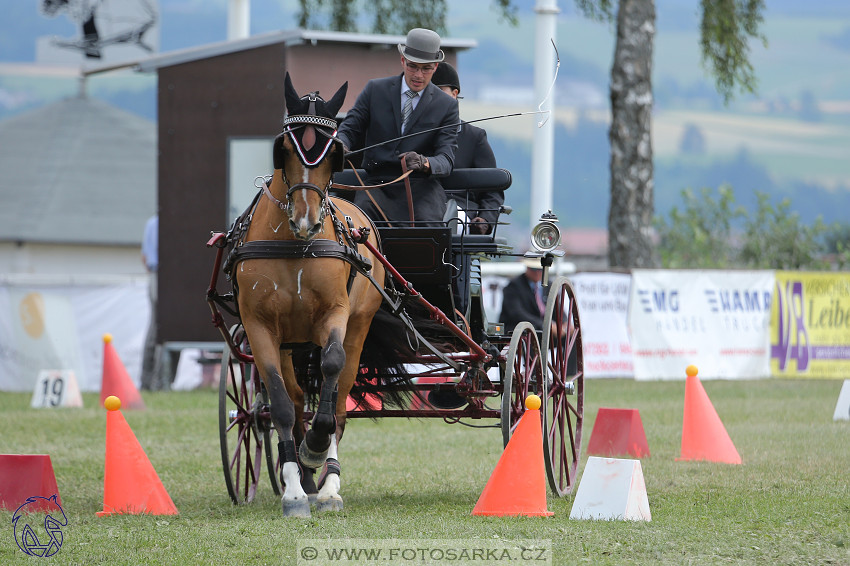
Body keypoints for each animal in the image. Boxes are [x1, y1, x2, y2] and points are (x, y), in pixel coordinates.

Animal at [235, 74, 388, 520]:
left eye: (333, 153)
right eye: (284, 149)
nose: (306, 220)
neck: (295, 246)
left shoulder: (335, 315)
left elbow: (332, 377)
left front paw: (317, 451)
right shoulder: (259, 326)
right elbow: (281, 403)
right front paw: (293, 488)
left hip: (358, 326)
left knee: (336, 399)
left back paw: (329, 481)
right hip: (291, 343)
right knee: (298, 397)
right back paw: (302, 475)